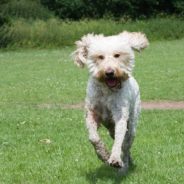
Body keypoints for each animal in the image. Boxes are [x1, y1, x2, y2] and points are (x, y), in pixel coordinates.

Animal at [72, 31, 149, 171]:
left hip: (132, 124)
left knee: (126, 144)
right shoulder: (91, 113)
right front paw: (103, 155)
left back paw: (125, 165)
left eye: (117, 55)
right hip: (111, 128)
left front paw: (115, 159)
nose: (109, 72)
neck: (107, 91)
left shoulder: (120, 115)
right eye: (100, 57)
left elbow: (119, 140)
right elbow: (93, 137)